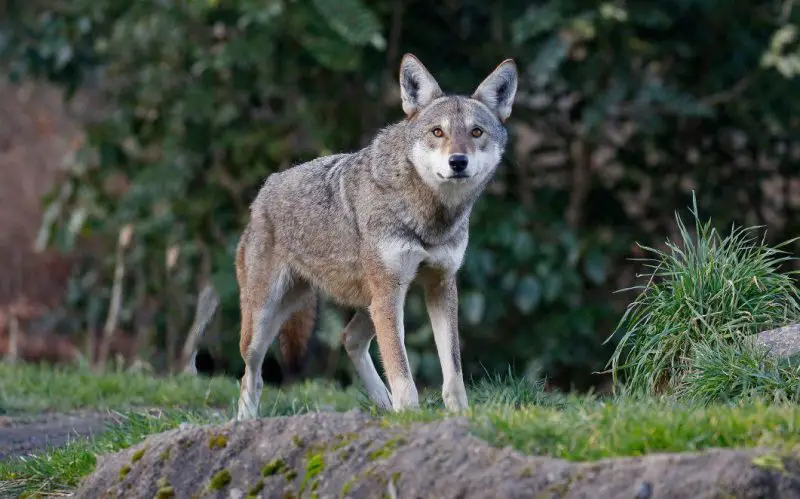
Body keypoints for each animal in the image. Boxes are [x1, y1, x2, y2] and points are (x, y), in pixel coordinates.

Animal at [235, 53, 518, 418]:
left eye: (476, 132)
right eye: (437, 132)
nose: (458, 161)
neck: (428, 218)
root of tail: (264, 189)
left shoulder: (440, 286)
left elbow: (452, 370)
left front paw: (458, 415)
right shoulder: (390, 291)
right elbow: (402, 371)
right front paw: (410, 416)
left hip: (380, 301)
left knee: (349, 337)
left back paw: (382, 402)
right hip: (266, 320)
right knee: (251, 376)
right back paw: (244, 422)